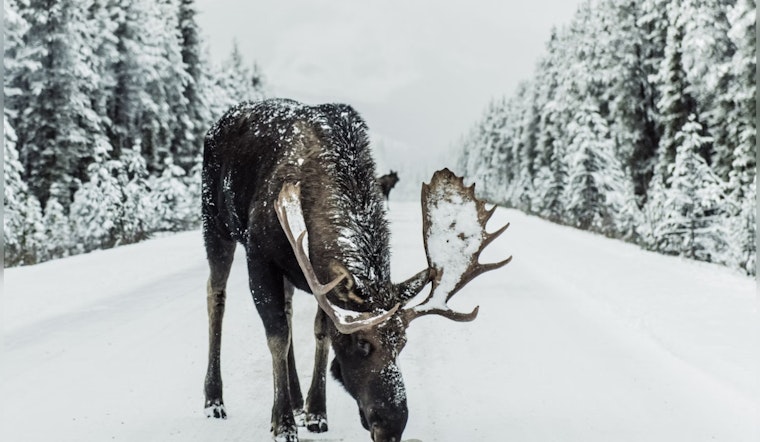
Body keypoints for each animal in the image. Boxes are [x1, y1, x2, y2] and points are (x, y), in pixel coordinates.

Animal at [201, 98, 511, 442]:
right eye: (363, 343)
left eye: (402, 343)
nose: (391, 426)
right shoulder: (259, 255)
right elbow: (277, 336)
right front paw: (283, 424)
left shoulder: (319, 280)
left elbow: (321, 332)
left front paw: (316, 411)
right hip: (215, 224)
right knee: (216, 296)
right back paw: (214, 400)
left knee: (288, 308)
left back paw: (296, 399)